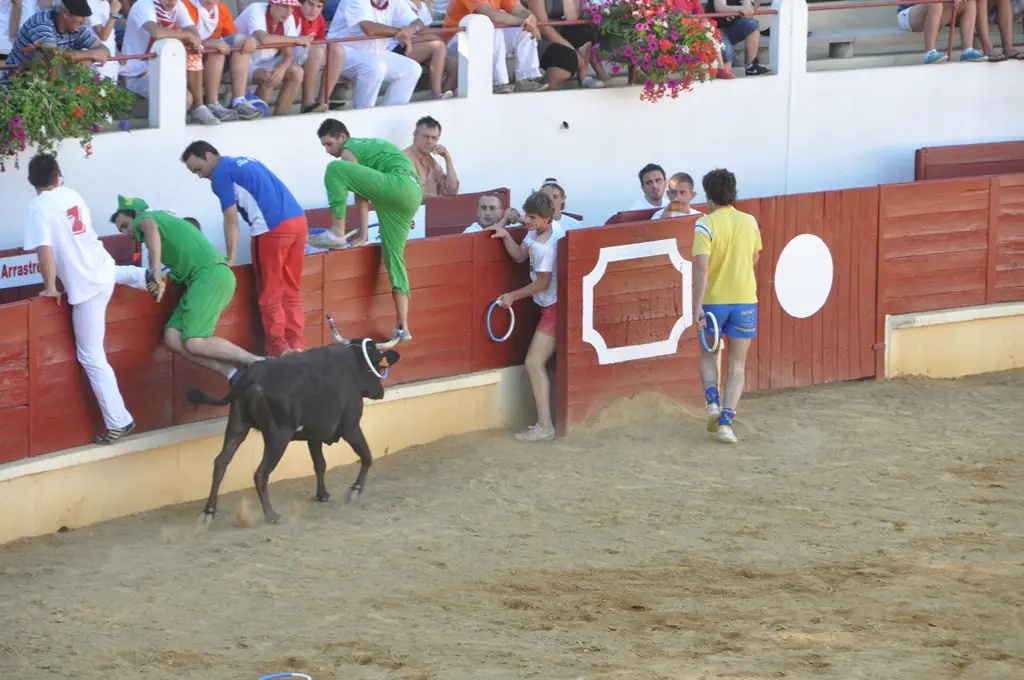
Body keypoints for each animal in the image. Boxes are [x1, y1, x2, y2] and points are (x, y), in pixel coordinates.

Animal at [186, 337, 401, 522]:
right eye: (378, 366)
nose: (380, 392)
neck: (354, 364)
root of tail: (252, 375)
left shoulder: (314, 435)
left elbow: (320, 464)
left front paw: (322, 495)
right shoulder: (351, 427)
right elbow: (366, 456)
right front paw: (355, 490)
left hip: (237, 425)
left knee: (221, 462)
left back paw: (209, 511)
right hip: (278, 436)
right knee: (260, 473)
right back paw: (271, 515)